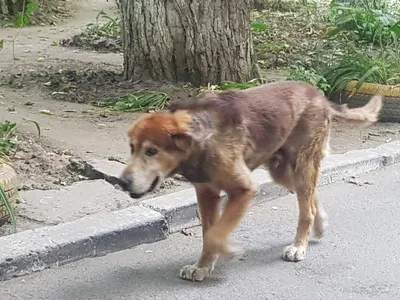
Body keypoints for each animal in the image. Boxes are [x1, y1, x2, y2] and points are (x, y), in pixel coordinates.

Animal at [118, 80, 382, 282]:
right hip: (283, 172)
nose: (122, 182)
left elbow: (216, 234)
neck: (202, 141)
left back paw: (299, 246)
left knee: (306, 209)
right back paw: (320, 225)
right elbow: (208, 233)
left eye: (151, 151)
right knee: (311, 200)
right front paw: (203, 267)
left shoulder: (244, 190)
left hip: (301, 165)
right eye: (131, 148)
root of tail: (320, 96)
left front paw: (228, 250)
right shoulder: (206, 193)